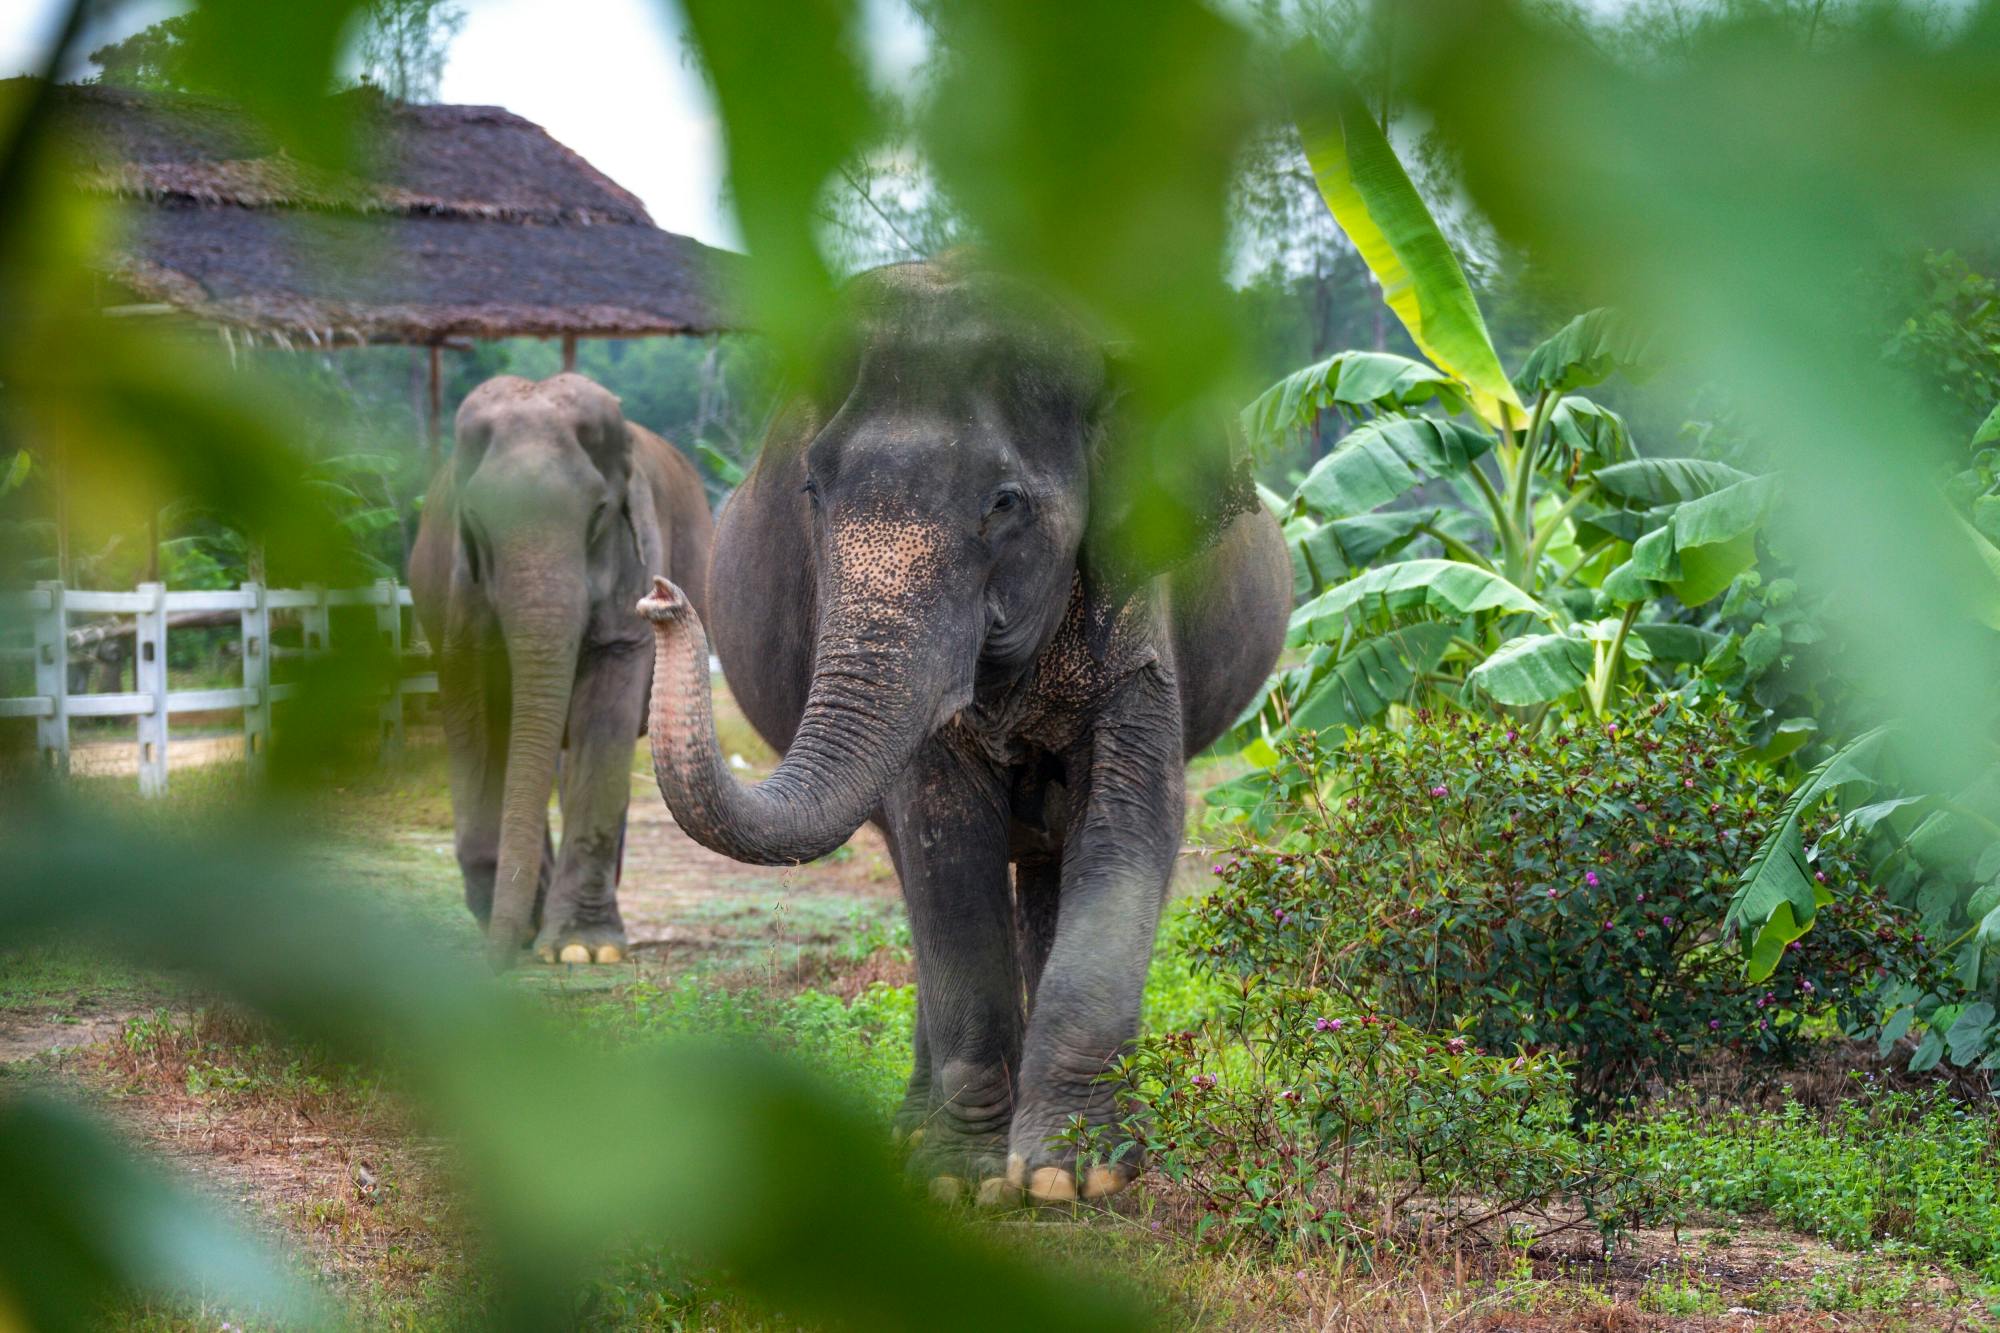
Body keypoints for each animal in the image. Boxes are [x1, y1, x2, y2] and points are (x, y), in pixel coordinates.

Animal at [410, 370, 716, 964]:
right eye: (475, 519)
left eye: (599, 513)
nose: (495, 964)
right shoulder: (459, 593)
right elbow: (474, 705)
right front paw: (518, 926)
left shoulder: (634, 566)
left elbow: (606, 709)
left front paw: (583, 950)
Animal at [644, 260, 1296, 1200]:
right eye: (811, 490)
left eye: (1004, 502)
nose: (659, 596)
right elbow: (944, 840)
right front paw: (964, 1178)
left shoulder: (1141, 604)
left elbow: (1134, 814)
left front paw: (1071, 1174)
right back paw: (915, 1133)